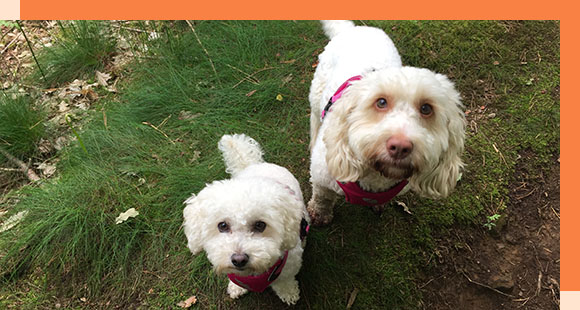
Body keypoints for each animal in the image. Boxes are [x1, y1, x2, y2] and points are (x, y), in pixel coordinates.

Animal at [182, 134, 308, 306]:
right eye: (222, 225)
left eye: (260, 225)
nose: (239, 260)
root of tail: (255, 164)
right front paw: (237, 287)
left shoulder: (289, 266)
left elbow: (285, 281)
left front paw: (288, 293)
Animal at [308, 21, 466, 225]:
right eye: (381, 102)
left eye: (426, 108)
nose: (400, 147)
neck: (375, 177)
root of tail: (353, 28)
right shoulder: (322, 178)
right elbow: (322, 196)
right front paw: (319, 213)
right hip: (316, 93)